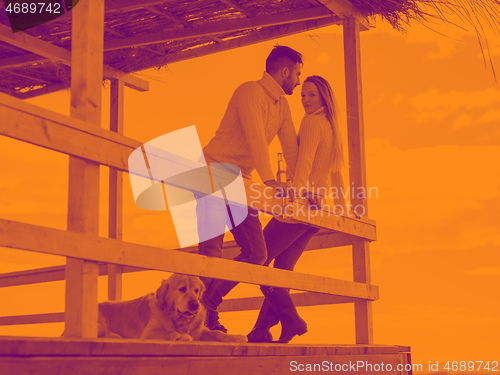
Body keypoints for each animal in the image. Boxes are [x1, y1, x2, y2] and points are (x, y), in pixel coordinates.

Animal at [97, 274, 246, 344]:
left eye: (196, 290)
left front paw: (236, 337)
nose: (195, 304)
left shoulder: (200, 330)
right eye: (182, 289)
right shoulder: (149, 332)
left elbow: (217, 333)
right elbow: (168, 332)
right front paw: (181, 335)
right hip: (101, 322)